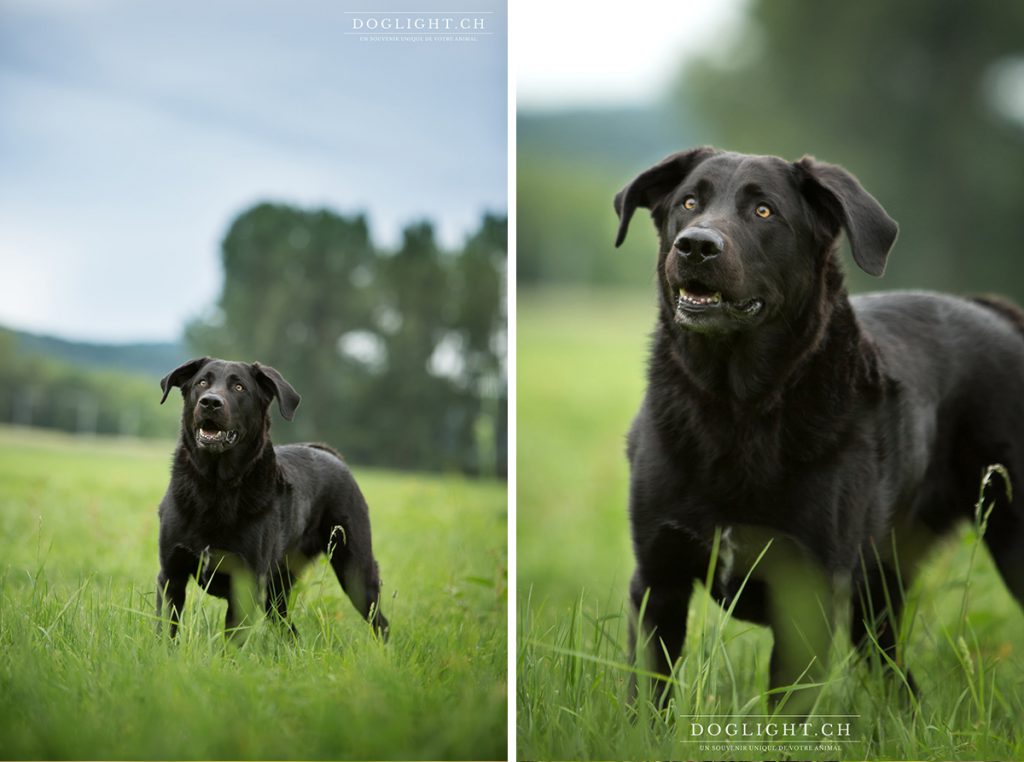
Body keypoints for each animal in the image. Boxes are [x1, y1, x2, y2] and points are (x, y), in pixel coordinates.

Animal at [154, 358, 387, 643]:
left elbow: (231, 641)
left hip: (355, 570)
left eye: (240, 387)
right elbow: (167, 630)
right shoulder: (171, 575)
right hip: (277, 590)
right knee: (288, 627)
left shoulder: (245, 585)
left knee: (380, 622)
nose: (210, 402)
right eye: (202, 382)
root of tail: (332, 456)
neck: (215, 486)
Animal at [614, 148, 1024, 708]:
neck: (735, 407)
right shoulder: (660, 578)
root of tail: (998, 314)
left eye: (764, 211)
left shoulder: (808, 597)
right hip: (878, 588)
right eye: (689, 202)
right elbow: (648, 697)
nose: (697, 245)